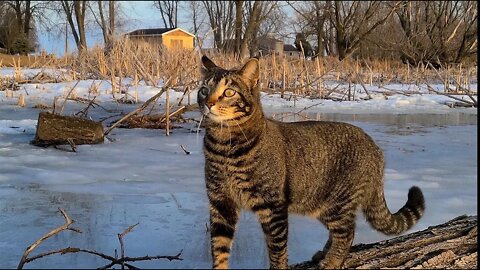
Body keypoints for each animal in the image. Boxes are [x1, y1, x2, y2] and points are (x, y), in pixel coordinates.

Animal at [197, 56, 426, 268]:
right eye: (203, 90)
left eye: (229, 92)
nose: (208, 103)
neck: (224, 146)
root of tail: (375, 148)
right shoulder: (220, 202)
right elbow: (219, 248)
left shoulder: (273, 206)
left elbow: (277, 250)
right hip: (322, 204)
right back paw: (324, 254)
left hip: (338, 202)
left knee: (347, 233)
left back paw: (332, 261)